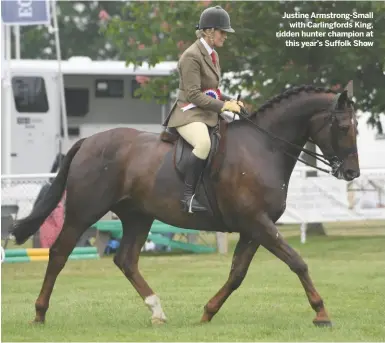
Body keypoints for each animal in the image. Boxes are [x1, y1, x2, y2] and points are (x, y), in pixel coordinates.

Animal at [12, 82, 360, 328]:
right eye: (344, 128)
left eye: (357, 128)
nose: (352, 173)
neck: (264, 147)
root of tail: (87, 142)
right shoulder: (257, 222)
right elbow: (297, 262)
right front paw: (321, 313)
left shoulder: (253, 228)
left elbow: (237, 274)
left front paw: (207, 312)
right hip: (84, 212)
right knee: (59, 253)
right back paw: (40, 313)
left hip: (137, 216)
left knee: (126, 260)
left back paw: (157, 311)